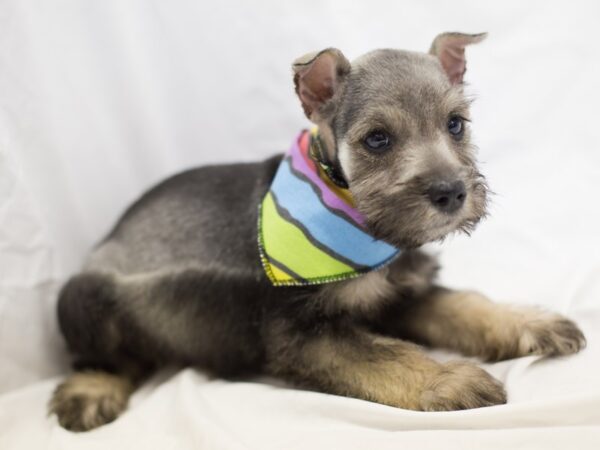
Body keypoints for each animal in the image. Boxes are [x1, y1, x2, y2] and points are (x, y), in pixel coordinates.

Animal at [50, 32, 584, 432]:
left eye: (455, 124)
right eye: (377, 139)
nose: (451, 193)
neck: (366, 228)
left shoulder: (403, 294)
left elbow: (463, 304)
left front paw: (531, 322)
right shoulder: (303, 335)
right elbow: (384, 354)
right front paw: (450, 380)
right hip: (81, 300)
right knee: (106, 357)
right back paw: (91, 389)